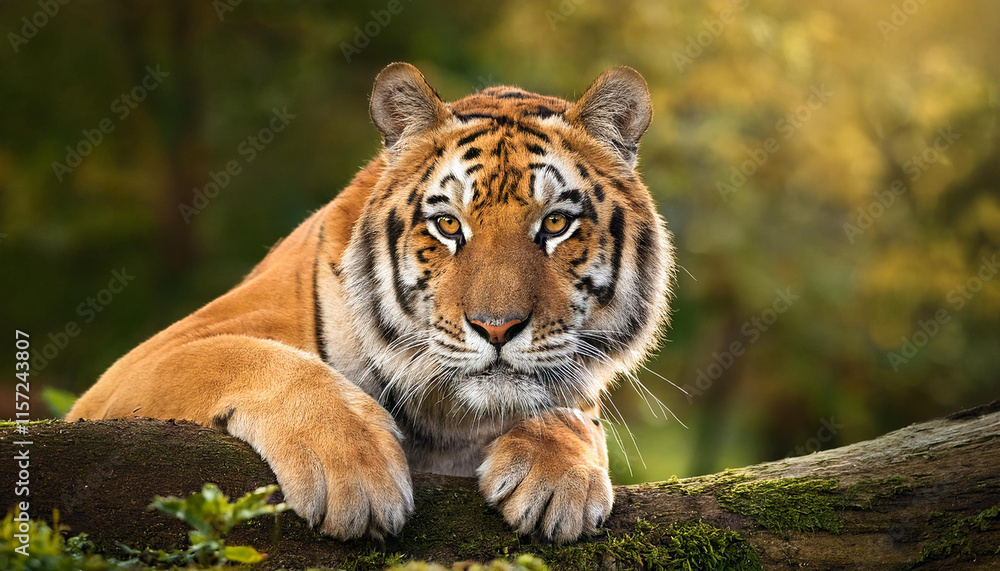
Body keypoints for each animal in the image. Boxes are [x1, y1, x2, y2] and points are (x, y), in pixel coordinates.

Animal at [67, 62, 675, 544]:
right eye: (448, 225)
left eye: (554, 224)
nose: (496, 328)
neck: (449, 423)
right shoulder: (131, 372)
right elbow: (256, 358)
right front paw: (352, 473)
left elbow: (576, 412)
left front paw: (561, 477)